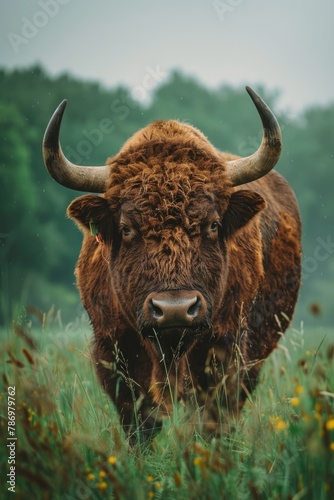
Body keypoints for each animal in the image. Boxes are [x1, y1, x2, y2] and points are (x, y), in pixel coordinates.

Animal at [43, 88, 302, 444]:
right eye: (126, 228)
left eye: (212, 225)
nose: (175, 309)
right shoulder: (114, 355)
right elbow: (141, 425)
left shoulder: (225, 352)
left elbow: (210, 420)